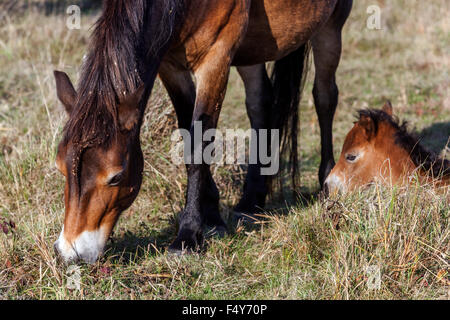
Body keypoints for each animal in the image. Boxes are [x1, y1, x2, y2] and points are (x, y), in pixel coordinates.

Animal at [52, 0, 354, 262]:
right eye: (61, 169)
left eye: (115, 177)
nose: (71, 251)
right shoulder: (170, 64)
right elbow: (188, 134)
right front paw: (211, 216)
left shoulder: (216, 58)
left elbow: (199, 145)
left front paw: (187, 236)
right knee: (260, 104)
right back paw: (250, 202)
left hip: (331, 25)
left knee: (324, 97)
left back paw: (327, 182)